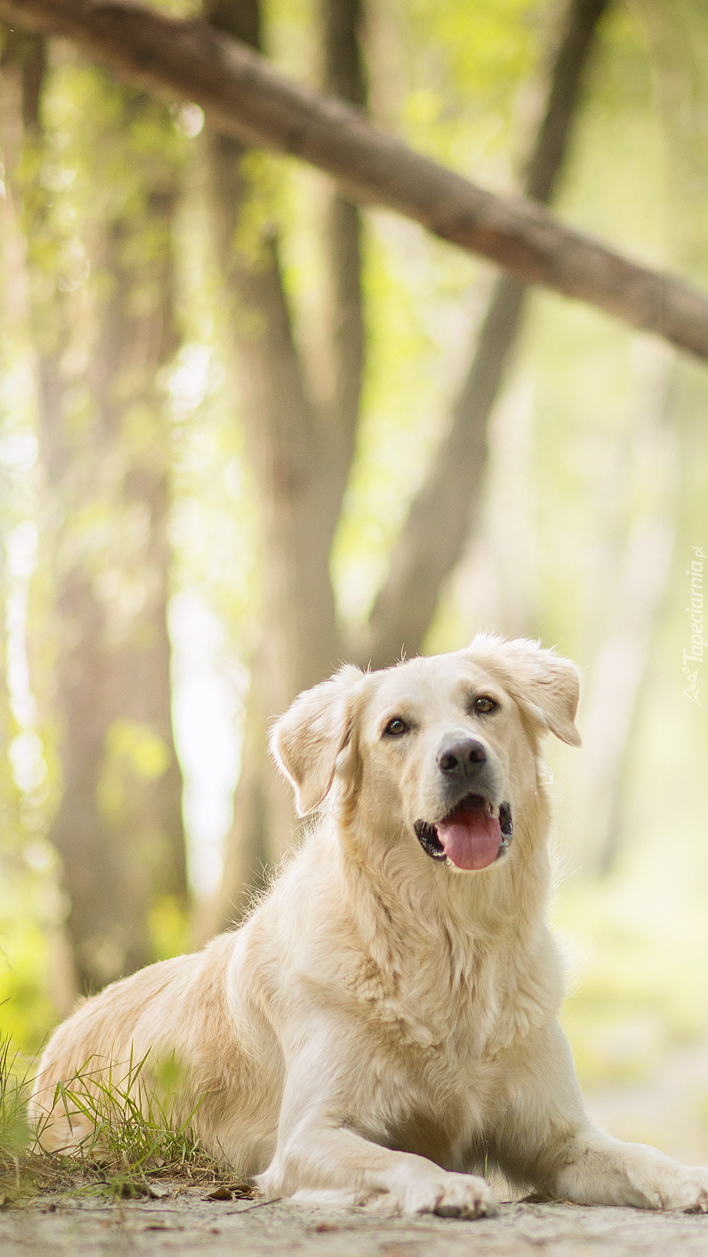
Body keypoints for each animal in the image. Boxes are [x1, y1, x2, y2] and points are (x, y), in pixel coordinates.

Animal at [31, 638, 708, 1216]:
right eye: (396, 728)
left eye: (484, 705)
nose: (463, 754)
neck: (455, 933)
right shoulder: (308, 1136)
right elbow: (398, 1157)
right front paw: (444, 1185)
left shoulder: (557, 1137)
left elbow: (637, 1154)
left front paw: (686, 1177)